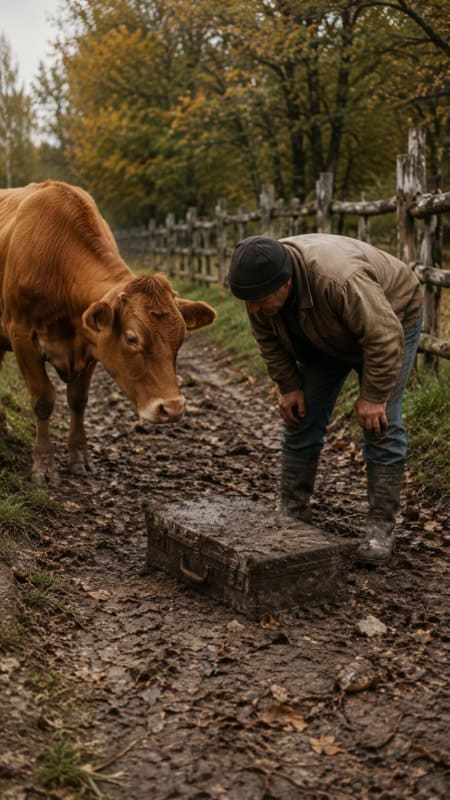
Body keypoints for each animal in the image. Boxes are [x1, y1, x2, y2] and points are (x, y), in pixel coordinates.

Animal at [0, 180, 216, 485]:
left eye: (181, 339)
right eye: (132, 338)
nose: (172, 408)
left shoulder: (91, 344)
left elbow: (78, 401)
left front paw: (80, 458)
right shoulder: (22, 336)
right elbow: (43, 400)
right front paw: (43, 466)